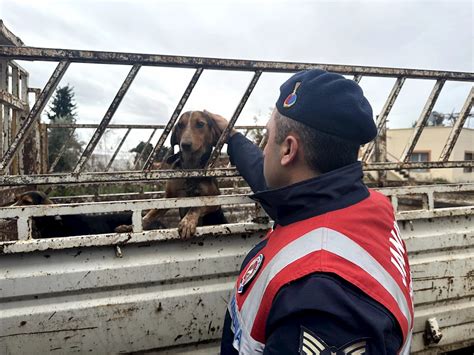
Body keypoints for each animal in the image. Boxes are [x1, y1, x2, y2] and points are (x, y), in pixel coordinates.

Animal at [114, 111, 226, 239]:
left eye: (200, 124)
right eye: (180, 125)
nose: (185, 144)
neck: (190, 167)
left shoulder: (215, 201)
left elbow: (196, 206)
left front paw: (187, 222)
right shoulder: (168, 198)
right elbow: (150, 215)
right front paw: (129, 227)